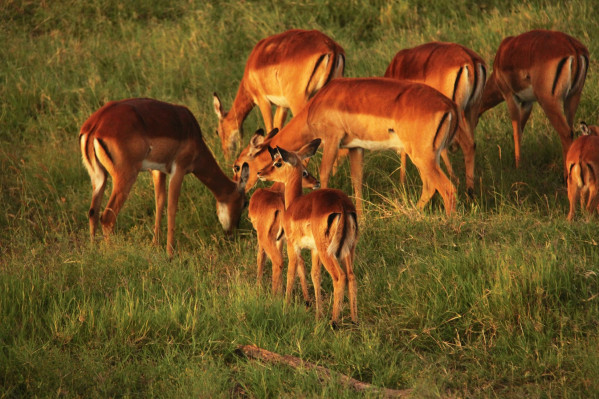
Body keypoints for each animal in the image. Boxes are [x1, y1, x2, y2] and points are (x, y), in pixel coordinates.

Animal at [79, 98, 248, 258]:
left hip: (99, 178)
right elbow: (172, 208)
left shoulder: (157, 171)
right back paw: (111, 252)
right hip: (125, 178)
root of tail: (95, 125)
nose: (232, 235)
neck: (192, 133)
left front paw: (155, 244)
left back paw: (94, 251)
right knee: (107, 217)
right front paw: (170, 253)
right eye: (245, 203)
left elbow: (159, 202)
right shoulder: (178, 170)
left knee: (93, 213)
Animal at [256, 140, 358, 328]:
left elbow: (291, 272)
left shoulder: (292, 245)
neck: (293, 203)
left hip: (328, 252)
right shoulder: (314, 250)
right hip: (348, 249)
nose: (260, 173)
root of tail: (342, 206)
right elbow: (315, 276)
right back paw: (355, 320)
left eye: (278, 163)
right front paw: (318, 315)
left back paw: (334, 322)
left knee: (340, 277)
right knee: (351, 276)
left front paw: (285, 307)